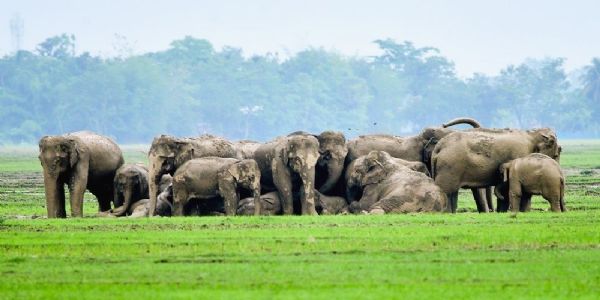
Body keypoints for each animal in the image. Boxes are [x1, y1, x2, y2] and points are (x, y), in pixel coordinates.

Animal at [432, 126, 564, 213]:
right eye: (557, 154)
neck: (532, 134)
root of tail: (439, 146)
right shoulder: (520, 154)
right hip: (449, 167)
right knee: (445, 190)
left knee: (451, 192)